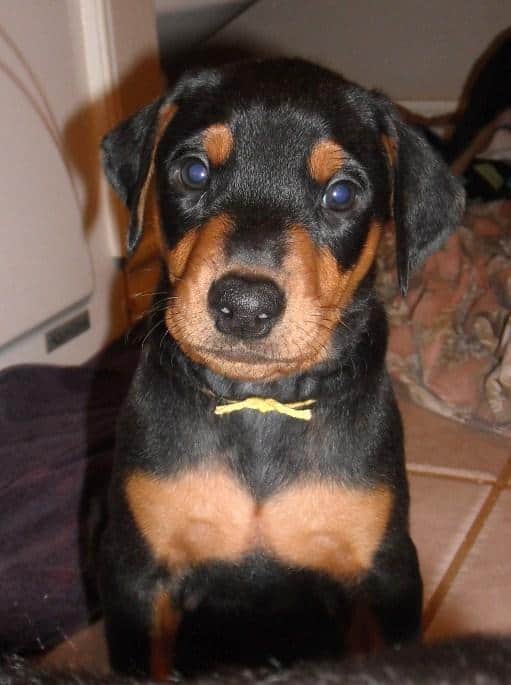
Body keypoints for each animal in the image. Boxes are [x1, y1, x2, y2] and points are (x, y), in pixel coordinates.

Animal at [99, 58, 464, 680]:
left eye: (341, 194)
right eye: (193, 172)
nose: (244, 306)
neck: (260, 403)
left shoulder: (386, 572)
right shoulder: (137, 577)